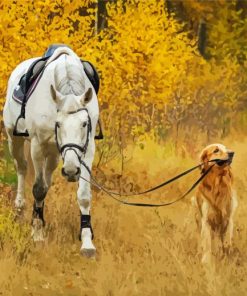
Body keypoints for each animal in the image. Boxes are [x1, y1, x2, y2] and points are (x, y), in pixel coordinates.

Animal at [2, 46, 99, 256]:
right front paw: (37, 234)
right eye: (58, 123)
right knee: (22, 168)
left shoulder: (87, 150)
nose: (71, 171)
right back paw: (20, 209)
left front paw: (87, 242)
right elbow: (38, 189)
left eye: (84, 123)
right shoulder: (37, 146)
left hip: (54, 154)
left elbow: (84, 196)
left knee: (47, 179)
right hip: (15, 140)